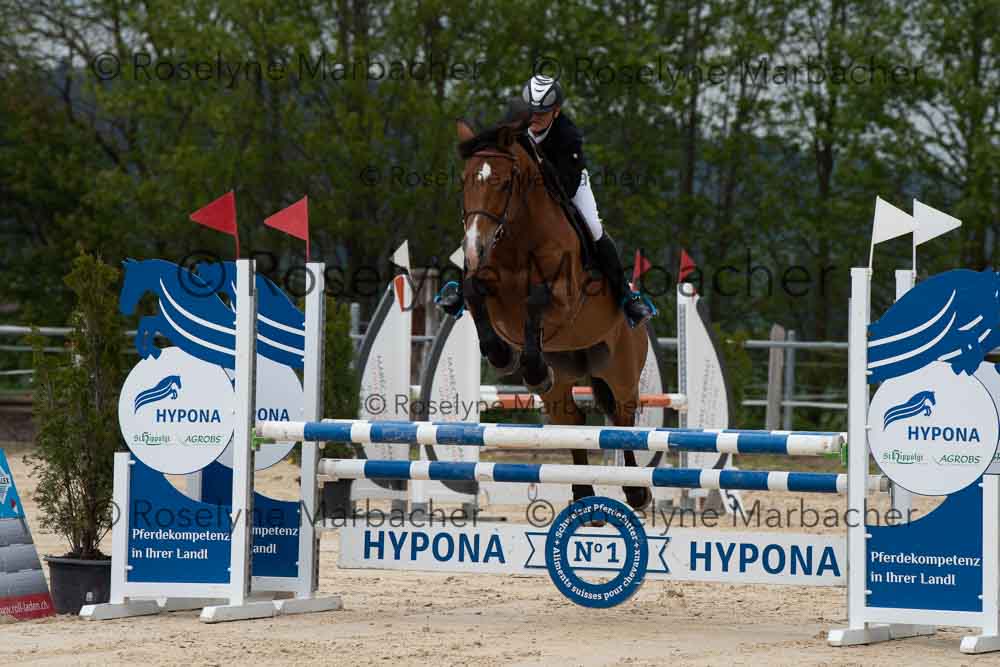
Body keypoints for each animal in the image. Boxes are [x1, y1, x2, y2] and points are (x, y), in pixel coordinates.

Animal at [456, 115, 651, 509]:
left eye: (503, 182)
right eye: (465, 180)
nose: (473, 248)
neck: (516, 237)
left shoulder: (565, 298)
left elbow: (536, 299)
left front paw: (529, 368)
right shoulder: (489, 289)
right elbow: (473, 292)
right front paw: (502, 356)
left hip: (621, 369)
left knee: (622, 418)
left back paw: (637, 491)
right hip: (564, 376)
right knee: (571, 419)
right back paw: (583, 494)